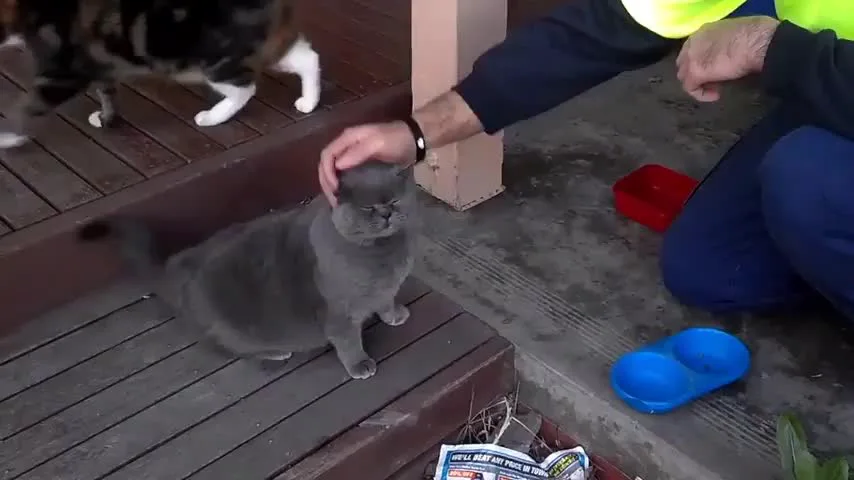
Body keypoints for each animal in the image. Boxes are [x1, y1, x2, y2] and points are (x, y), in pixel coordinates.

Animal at [0, 0, 319, 148]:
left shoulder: (63, 72)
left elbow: (25, 107)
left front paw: (7, 137)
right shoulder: (97, 62)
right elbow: (107, 92)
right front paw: (107, 118)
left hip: (205, 59)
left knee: (245, 88)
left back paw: (212, 117)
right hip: (262, 43)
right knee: (308, 58)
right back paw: (309, 102)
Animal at [79, 161, 417, 380]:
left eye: (395, 200)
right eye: (367, 207)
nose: (386, 214)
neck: (381, 256)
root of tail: (177, 267)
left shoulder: (385, 290)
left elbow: (386, 302)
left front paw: (395, 315)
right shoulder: (338, 316)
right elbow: (348, 343)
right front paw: (360, 366)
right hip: (231, 328)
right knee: (229, 348)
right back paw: (275, 353)